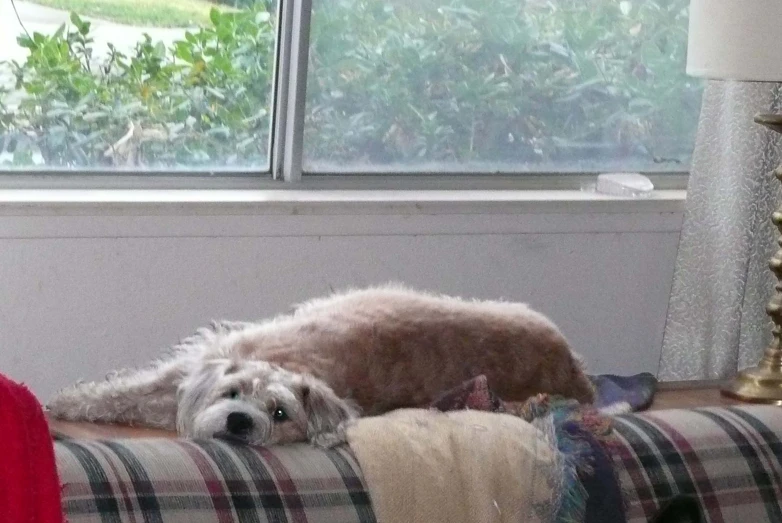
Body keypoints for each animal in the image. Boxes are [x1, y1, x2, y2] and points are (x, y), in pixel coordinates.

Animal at [47, 286, 596, 446]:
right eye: (233, 393)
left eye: (281, 414)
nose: (241, 423)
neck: (285, 361)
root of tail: (575, 369)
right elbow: (120, 391)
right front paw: (67, 400)